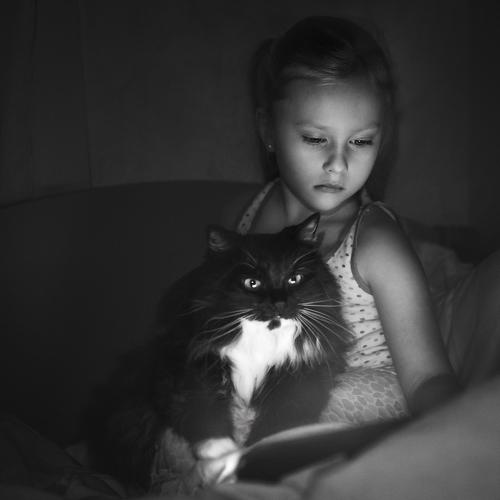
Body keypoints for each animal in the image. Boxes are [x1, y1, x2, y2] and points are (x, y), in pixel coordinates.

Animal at [87, 213, 352, 490]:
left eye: (294, 279)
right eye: (252, 283)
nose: (279, 303)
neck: (264, 334)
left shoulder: (301, 379)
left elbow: (277, 429)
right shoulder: (184, 366)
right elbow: (206, 418)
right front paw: (226, 462)